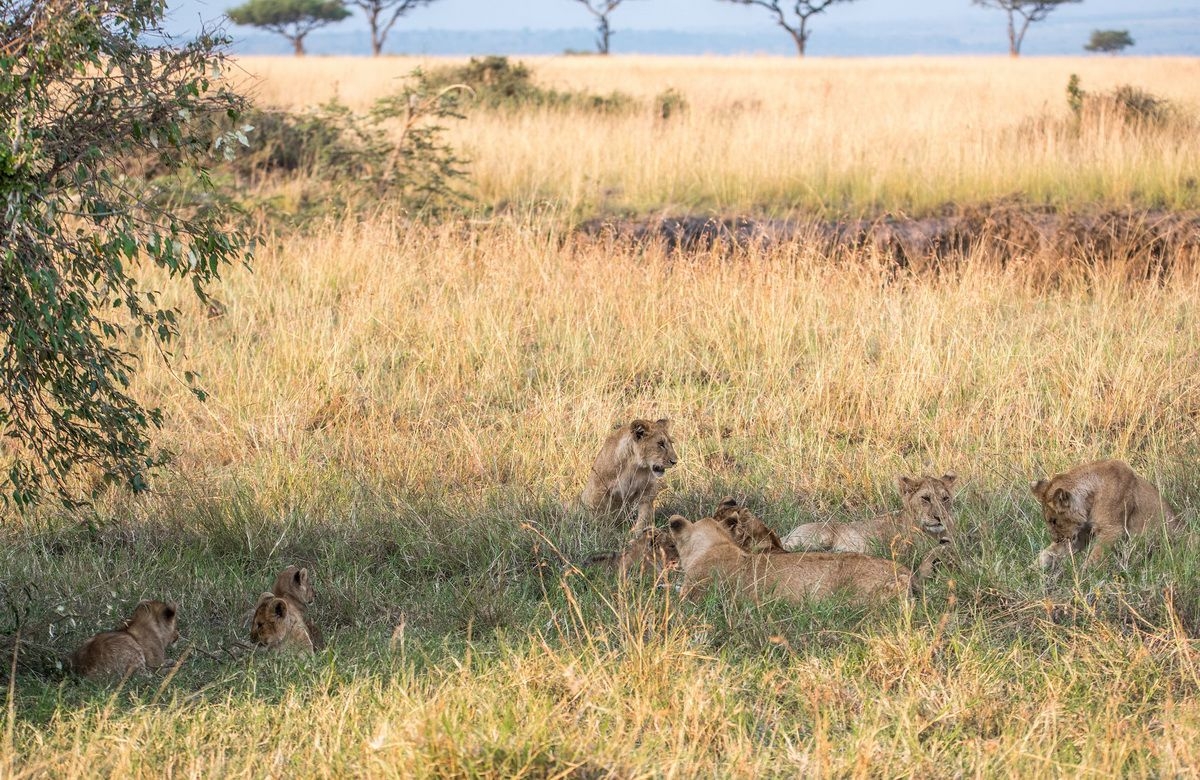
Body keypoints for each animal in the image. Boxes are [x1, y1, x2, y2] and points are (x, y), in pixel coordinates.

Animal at [782, 470, 960, 556]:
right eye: (925, 498)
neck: (934, 534)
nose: (940, 517)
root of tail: (791, 531)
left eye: (945, 498)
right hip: (817, 537)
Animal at [1027, 458, 1176, 568]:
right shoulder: (1081, 534)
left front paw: (1085, 575)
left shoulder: (1112, 529)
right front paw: (1031, 571)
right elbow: (1049, 552)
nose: (1056, 539)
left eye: (1054, 521)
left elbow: (1096, 555)